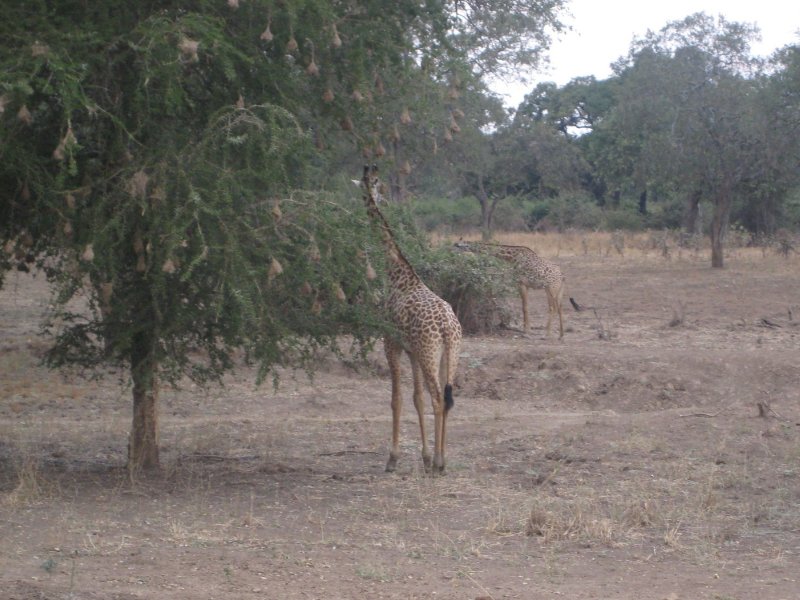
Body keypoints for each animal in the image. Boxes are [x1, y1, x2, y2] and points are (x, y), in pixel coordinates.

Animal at [360, 164, 462, 474]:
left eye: (372, 183)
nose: (373, 197)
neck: (396, 273)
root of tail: (447, 327)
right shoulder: (413, 351)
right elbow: (417, 399)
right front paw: (425, 457)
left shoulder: (391, 343)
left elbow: (397, 399)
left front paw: (393, 459)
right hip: (449, 354)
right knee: (447, 398)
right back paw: (441, 460)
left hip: (430, 354)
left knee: (438, 398)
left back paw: (439, 463)